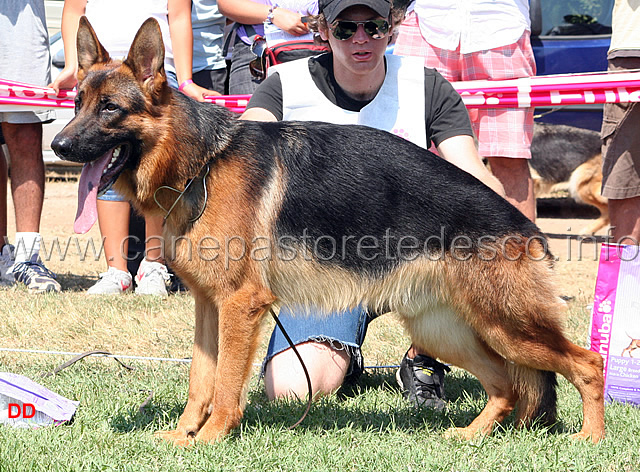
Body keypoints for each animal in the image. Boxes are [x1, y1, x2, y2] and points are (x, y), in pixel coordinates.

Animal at [51, 18, 604, 444]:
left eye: (110, 109)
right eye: (77, 103)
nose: (57, 145)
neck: (203, 162)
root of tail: (525, 225)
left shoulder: (239, 306)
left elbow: (226, 384)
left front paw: (210, 439)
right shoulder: (209, 306)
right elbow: (199, 379)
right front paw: (183, 435)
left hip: (509, 326)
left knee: (587, 363)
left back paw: (590, 439)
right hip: (451, 330)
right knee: (507, 385)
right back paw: (471, 436)